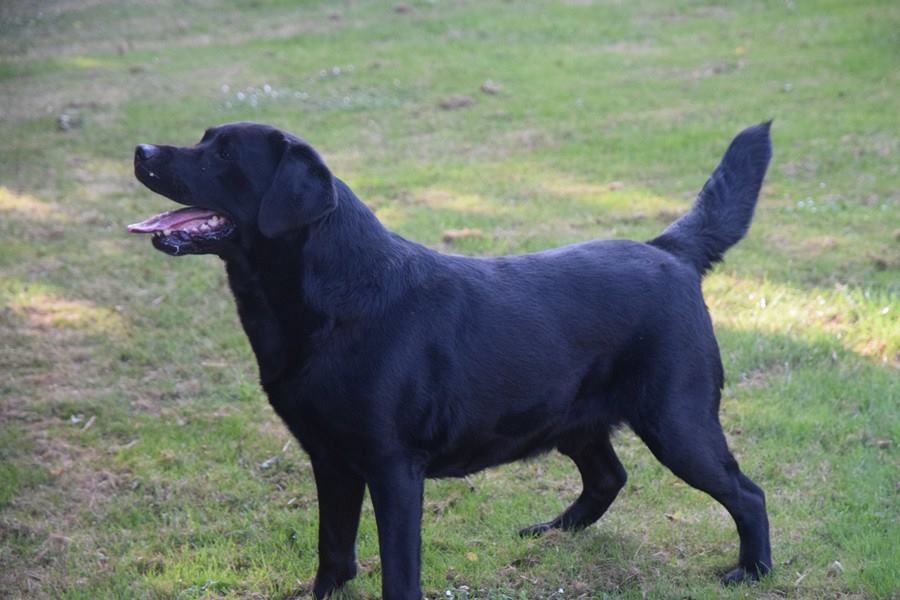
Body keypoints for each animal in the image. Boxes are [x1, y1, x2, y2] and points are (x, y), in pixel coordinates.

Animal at [129, 121, 773, 599]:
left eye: (223, 154)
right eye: (203, 137)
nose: (140, 150)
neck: (334, 299)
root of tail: (670, 252)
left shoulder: (393, 466)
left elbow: (398, 571)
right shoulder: (330, 459)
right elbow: (332, 549)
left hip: (677, 421)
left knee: (748, 494)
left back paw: (753, 570)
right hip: (572, 418)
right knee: (608, 476)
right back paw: (553, 531)